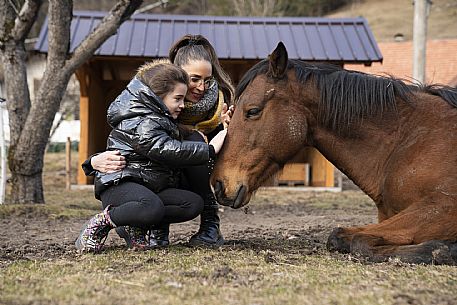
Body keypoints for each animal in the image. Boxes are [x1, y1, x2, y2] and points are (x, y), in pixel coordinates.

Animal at [212, 41, 456, 262]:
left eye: (252, 111)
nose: (218, 184)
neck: (407, 140)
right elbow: (339, 236)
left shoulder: (443, 206)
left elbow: (358, 241)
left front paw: (442, 249)